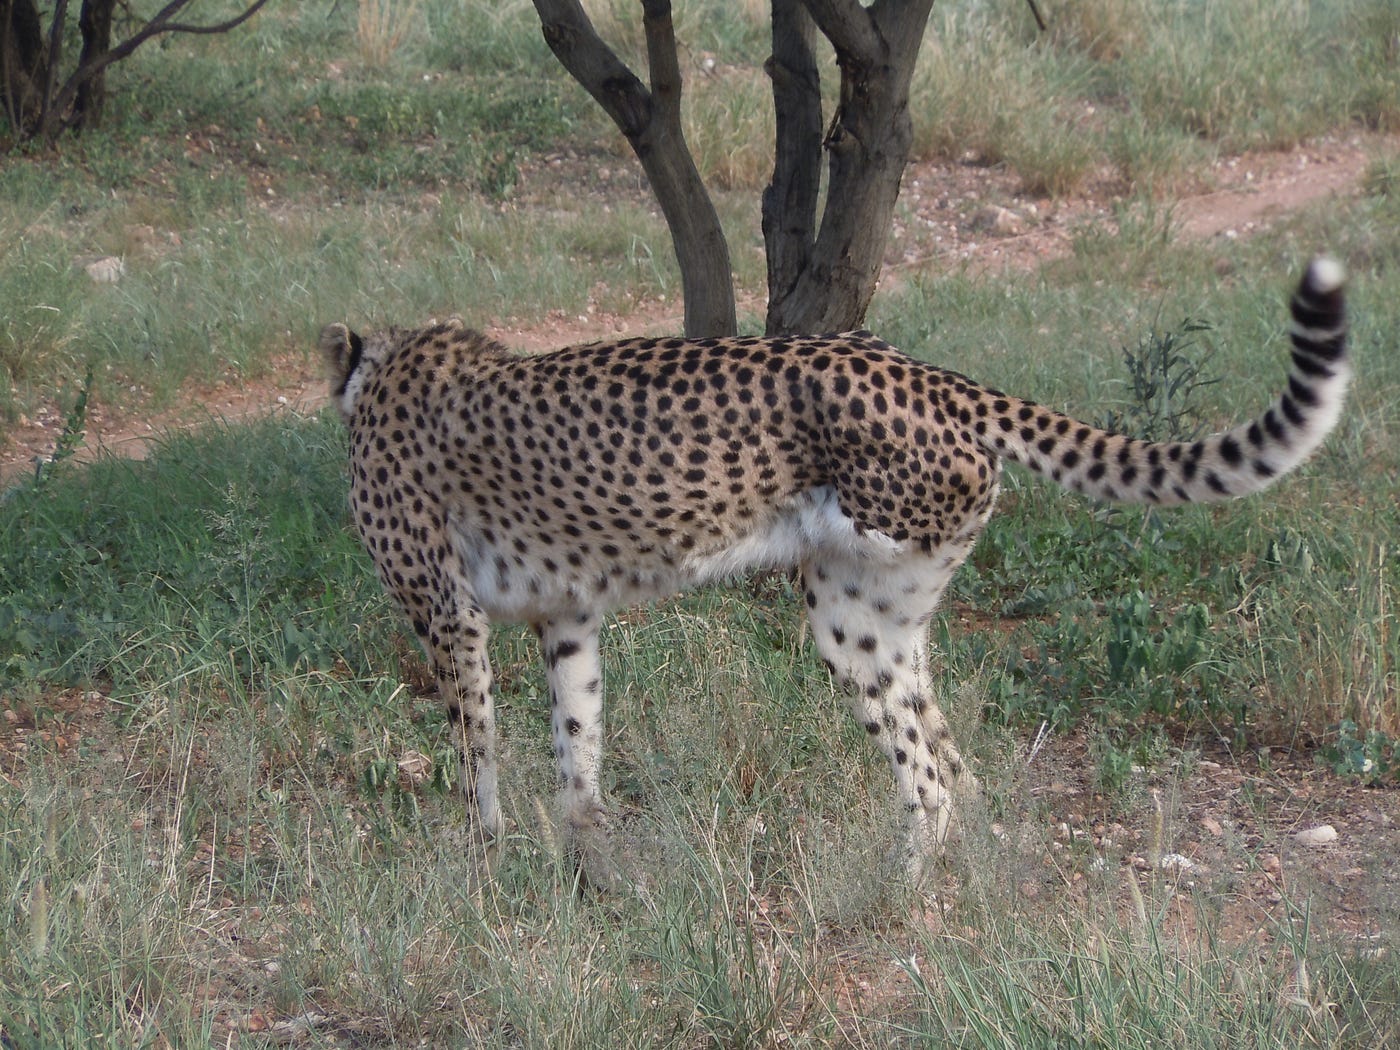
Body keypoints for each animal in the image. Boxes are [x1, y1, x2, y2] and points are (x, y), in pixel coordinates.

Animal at [320, 258, 1348, 878]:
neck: (377, 372)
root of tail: (925, 370)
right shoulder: (566, 616)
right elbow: (578, 740)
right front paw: (587, 859)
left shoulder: (448, 614)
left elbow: (477, 747)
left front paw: (482, 855)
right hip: (885, 619)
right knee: (954, 762)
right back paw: (957, 869)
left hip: (849, 603)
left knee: (928, 774)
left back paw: (897, 894)